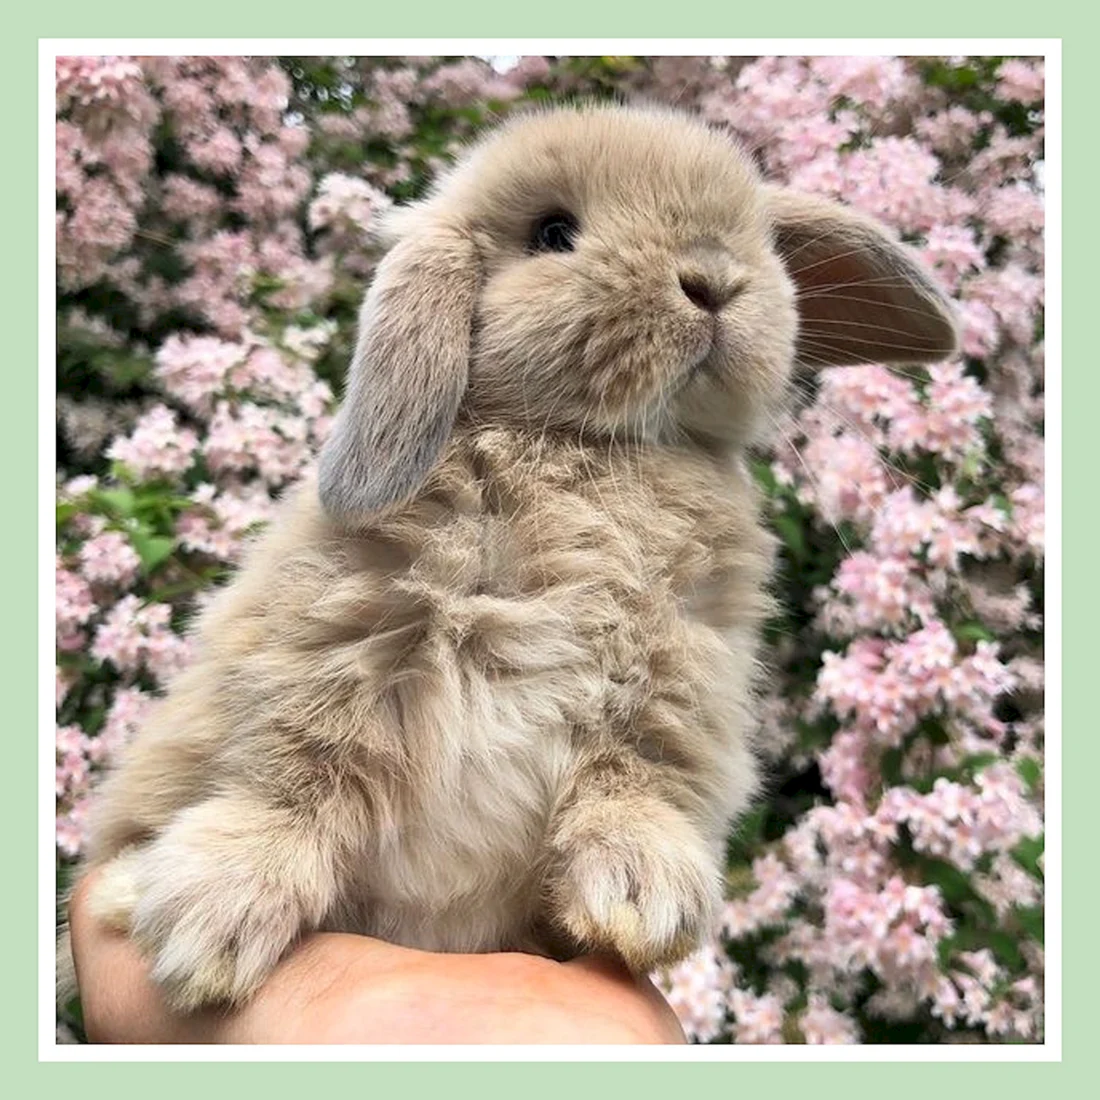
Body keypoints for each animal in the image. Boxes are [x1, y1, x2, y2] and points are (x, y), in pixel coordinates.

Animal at [57, 102, 958, 1014]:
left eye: (760, 242)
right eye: (553, 232)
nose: (712, 281)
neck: (591, 448)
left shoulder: (680, 678)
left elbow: (638, 779)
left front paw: (647, 893)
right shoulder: (334, 640)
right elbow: (287, 763)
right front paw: (210, 913)